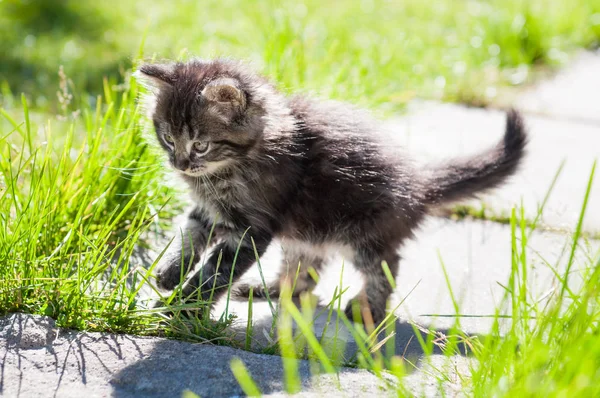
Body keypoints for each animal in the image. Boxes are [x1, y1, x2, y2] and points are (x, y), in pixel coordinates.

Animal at [135, 59, 524, 326]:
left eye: (200, 145)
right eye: (168, 138)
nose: (179, 164)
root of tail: (419, 183)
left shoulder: (251, 229)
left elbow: (215, 274)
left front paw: (180, 310)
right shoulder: (209, 211)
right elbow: (188, 235)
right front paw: (169, 273)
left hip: (364, 234)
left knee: (386, 265)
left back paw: (369, 310)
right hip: (307, 232)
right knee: (305, 273)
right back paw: (270, 289)